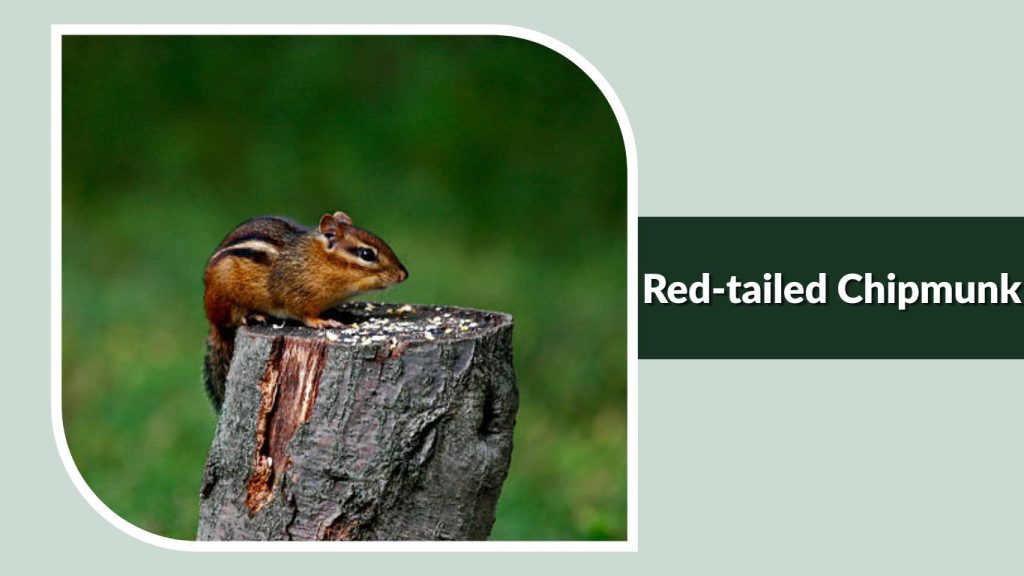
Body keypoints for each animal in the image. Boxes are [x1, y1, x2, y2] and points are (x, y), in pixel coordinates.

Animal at [202, 211, 408, 411]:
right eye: (367, 254)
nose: (403, 275)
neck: (319, 260)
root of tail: (212, 319)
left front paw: (340, 313)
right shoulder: (295, 296)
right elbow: (305, 315)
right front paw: (323, 322)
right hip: (227, 300)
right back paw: (254, 316)